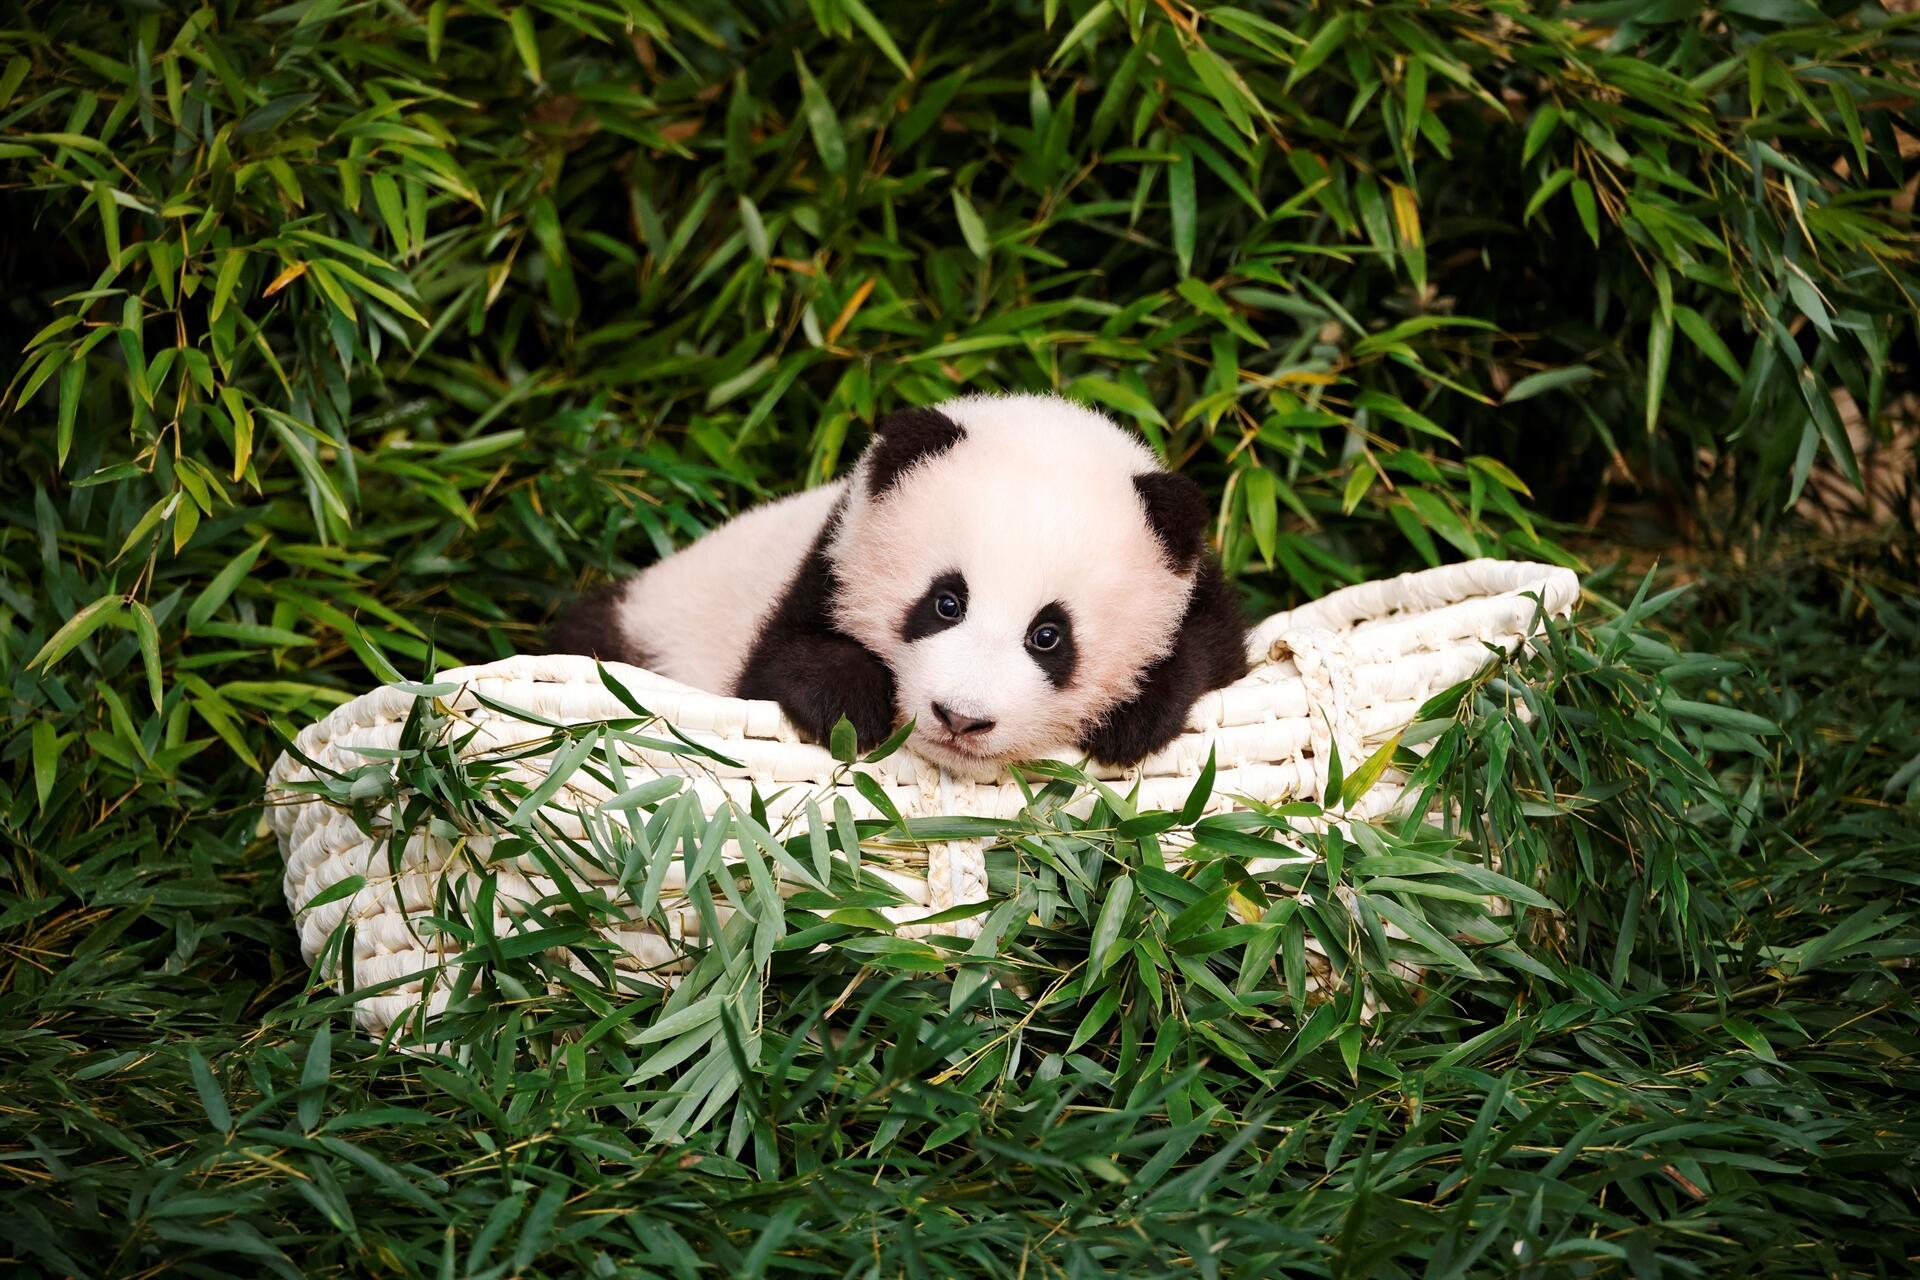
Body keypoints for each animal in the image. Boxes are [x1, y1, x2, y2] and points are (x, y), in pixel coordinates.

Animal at [547, 393, 1249, 778]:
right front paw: (852, 704)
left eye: (1048, 636)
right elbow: (778, 665)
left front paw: (1132, 716)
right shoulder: (823, 561)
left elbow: (1208, 652)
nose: (962, 718)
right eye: (946, 603)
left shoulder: (1199, 592)